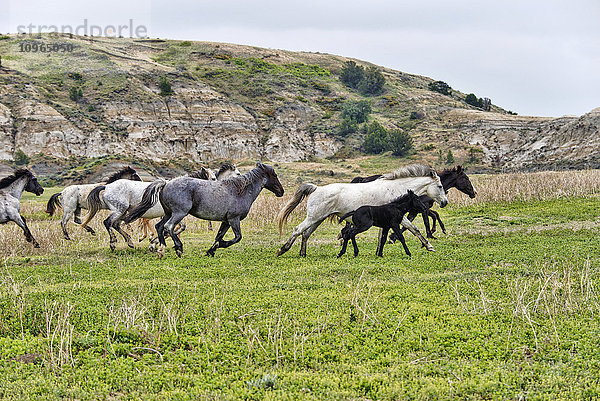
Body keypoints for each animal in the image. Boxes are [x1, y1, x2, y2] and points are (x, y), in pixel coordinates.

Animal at [124, 162, 284, 256]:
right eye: (274, 175)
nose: (281, 192)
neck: (240, 191)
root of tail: (165, 183)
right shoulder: (234, 219)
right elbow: (237, 238)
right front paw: (220, 246)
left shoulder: (226, 221)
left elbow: (218, 236)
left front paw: (211, 251)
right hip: (179, 213)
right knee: (168, 227)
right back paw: (178, 248)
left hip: (168, 213)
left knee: (159, 226)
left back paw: (161, 248)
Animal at [276, 163, 446, 255]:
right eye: (440, 186)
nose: (445, 202)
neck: (395, 189)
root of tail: (316, 188)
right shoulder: (396, 218)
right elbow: (409, 230)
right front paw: (429, 246)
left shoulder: (392, 219)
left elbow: (405, 231)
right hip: (313, 217)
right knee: (298, 230)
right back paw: (282, 249)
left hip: (318, 219)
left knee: (306, 234)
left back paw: (302, 253)